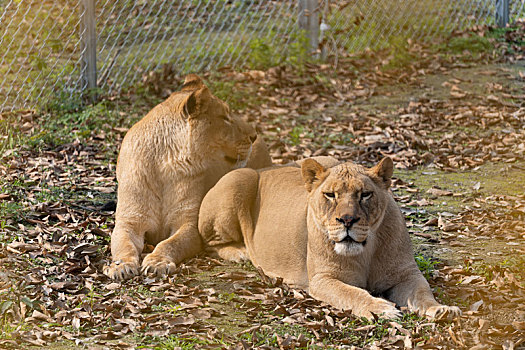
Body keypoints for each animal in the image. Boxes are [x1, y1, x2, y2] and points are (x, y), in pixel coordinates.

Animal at [102, 74, 270, 278]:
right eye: (225, 118)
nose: (254, 136)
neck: (164, 166)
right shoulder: (129, 221)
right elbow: (123, 245)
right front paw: (121, 265)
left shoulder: (189, 224)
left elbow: (170, 243)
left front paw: (157, 262)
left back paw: (241, 253)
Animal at [196, 159, 458, 320]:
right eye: (330, 195)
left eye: (365, 194)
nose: (347, 220)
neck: (365, 251)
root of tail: (264, 168)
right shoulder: (322, 279)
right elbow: (353, 294)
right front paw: (382, 309)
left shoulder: (406, 274)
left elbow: (423, 293)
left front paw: (442, 309)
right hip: (239, 180)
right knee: (208, 242)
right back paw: (240, 253)